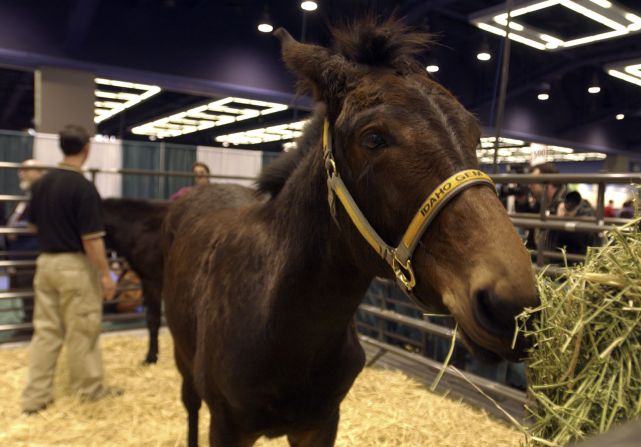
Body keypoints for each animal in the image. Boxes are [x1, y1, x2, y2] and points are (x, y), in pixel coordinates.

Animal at [162, 18, 536, 447]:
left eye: (475, 135)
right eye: (373, 138)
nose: (514, 308)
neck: (283, 325)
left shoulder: (321, 423)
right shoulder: (227, 427)